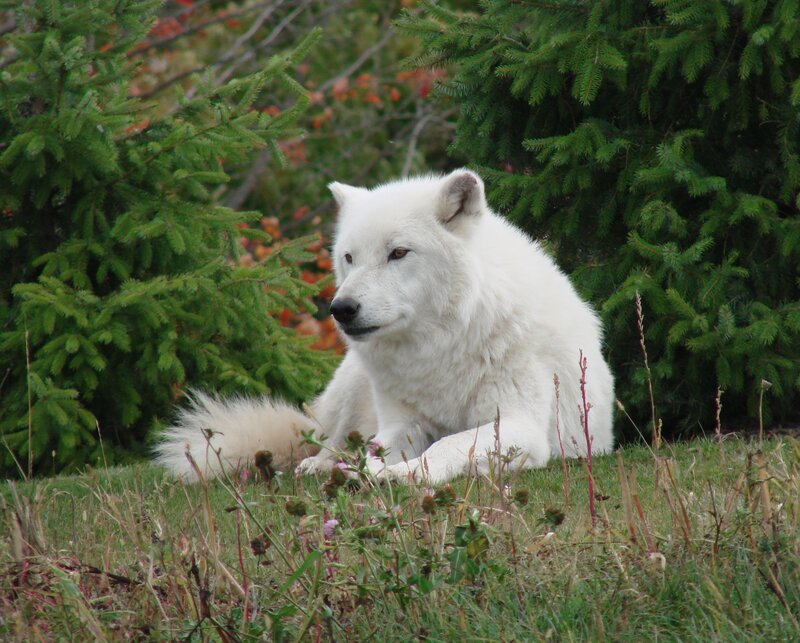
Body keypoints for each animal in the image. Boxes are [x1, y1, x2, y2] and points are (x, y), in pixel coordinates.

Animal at [155, 169, 615, 484]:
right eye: (349, 257)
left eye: (398, 253)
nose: (341, 309)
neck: (443, 346)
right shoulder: (401, 424)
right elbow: (377, 446)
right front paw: (366, 470)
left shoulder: (521, 426)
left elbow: (448, 443)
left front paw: (398, 475)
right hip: (351, 388)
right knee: (331, 440)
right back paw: (317, 465)